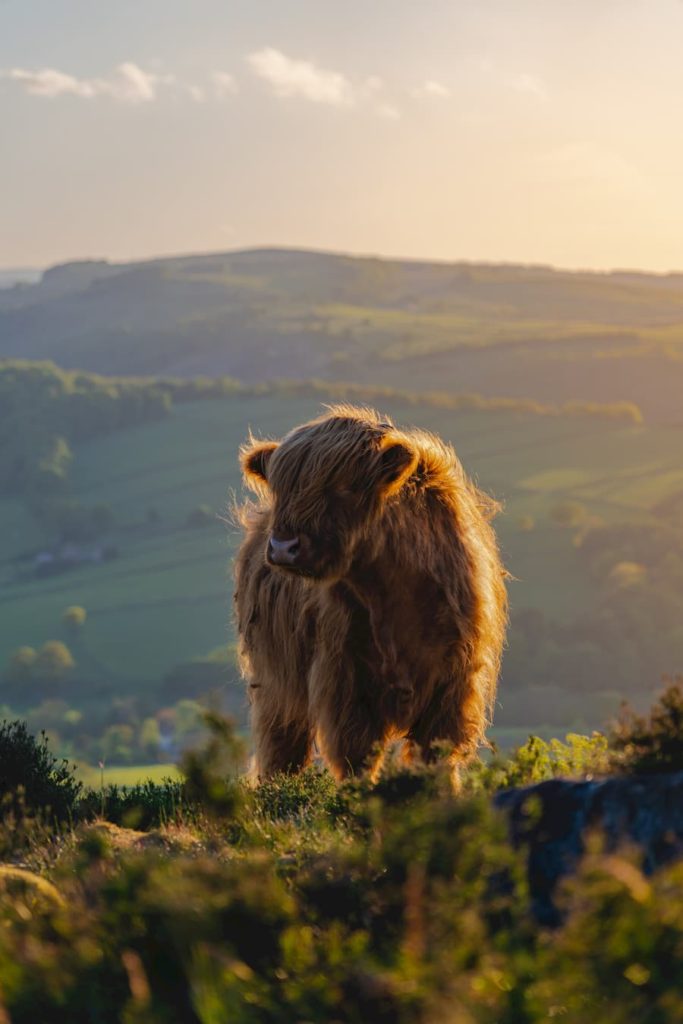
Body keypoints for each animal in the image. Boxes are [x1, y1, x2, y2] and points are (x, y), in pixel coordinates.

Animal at [235, 403, 507, 778]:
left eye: (345, 486)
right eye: (281, 489)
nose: (283, 547)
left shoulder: (454, 684)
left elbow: (436, 756)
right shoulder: (344, 683)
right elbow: (357, 758)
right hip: (275, 680)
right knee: (281, 747)